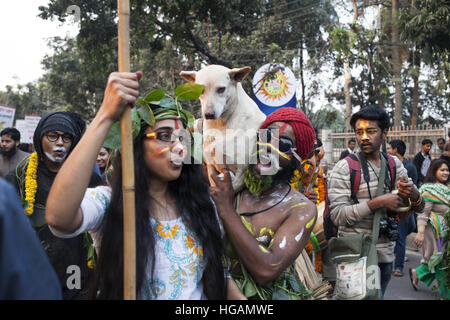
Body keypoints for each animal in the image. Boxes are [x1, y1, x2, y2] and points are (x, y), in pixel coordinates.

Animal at [179, 63, 266, 191]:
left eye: (221, 89)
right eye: (200, 90)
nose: (209, 115)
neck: (220, 125)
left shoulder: (240, 173)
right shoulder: (211, 167)